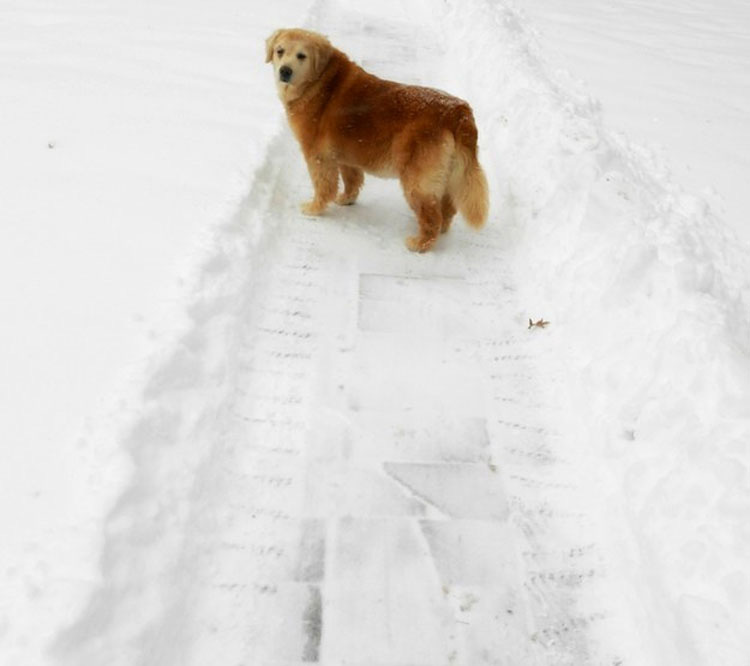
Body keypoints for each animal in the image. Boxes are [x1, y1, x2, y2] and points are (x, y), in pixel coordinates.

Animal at [268, 27, 490, 252]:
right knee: (447, 208)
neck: (321, 81)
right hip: (448, 174)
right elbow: (352, 181)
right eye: (280, 51)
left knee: (431, 215)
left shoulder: (318, 156)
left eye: (301, 56)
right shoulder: (346, 155)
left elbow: (323, 186)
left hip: (416, 180)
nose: (284, 71)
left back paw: (419, 243)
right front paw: (347, 199)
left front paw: (314, 208)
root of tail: (459, 111)